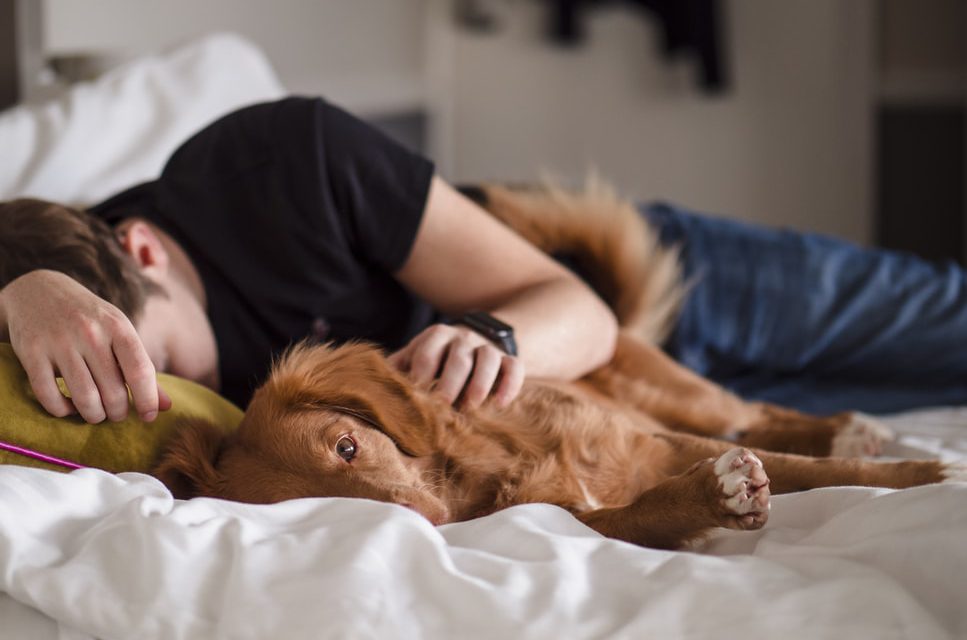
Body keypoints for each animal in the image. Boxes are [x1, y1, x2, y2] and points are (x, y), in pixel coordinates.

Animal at [153, 181, 967, 552]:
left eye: (349, 446)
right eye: (323, 507)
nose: (427, 522)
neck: (486, 466)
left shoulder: (655, 438)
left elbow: (817, 472)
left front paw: (926, 474)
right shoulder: (574, 515)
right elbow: (642, 511)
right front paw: (712, 499)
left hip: (681, 396)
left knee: (759, 413)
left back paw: (849, 428)